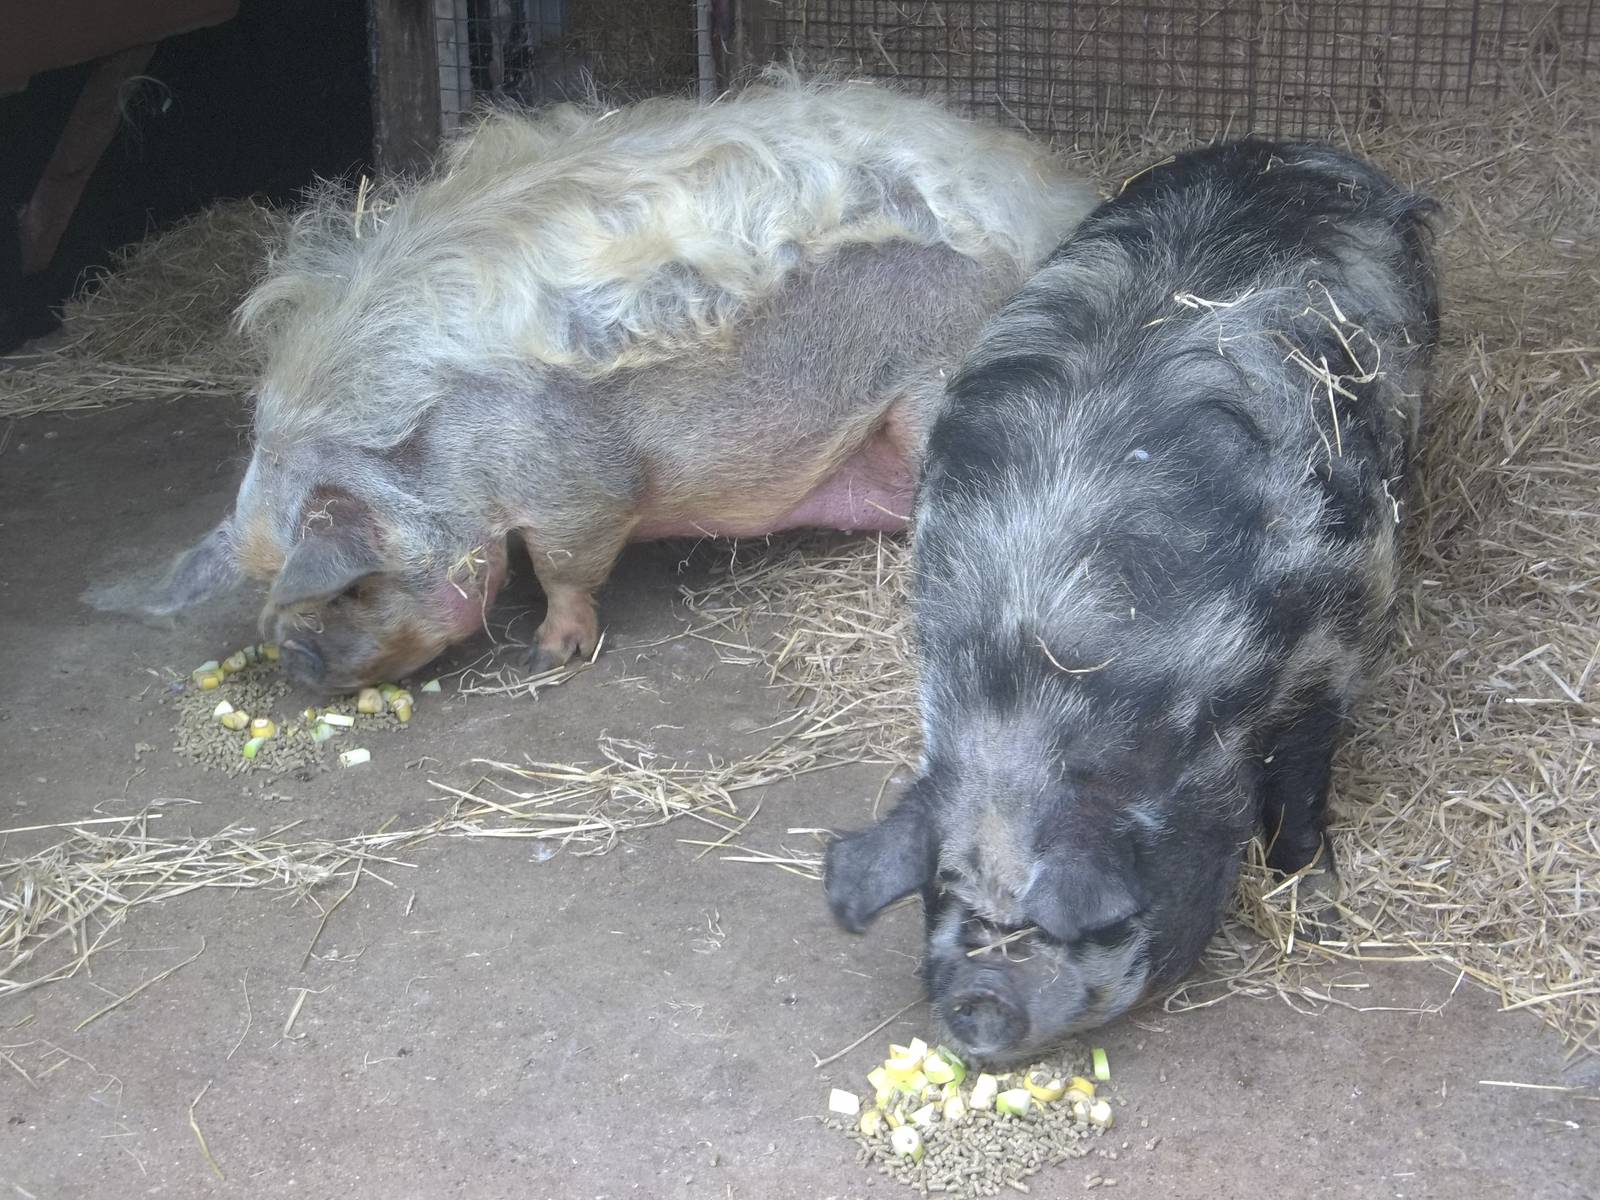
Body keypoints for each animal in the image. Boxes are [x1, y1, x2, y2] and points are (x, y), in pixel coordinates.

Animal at [85, 70, 1097, 692]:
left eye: (350, 588)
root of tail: (1054, 206)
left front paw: (552, 651)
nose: (294, 666)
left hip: (937, 383)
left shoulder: (580, 481)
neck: (442, 448)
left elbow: (567, 561)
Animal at [823, 139, 1439, 1061]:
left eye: (1076, 925)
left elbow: (1303, 778)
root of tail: (1293, 149)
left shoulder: (1341, 627)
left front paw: (1317, 904)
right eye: (948, 895)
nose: (981, 1001)